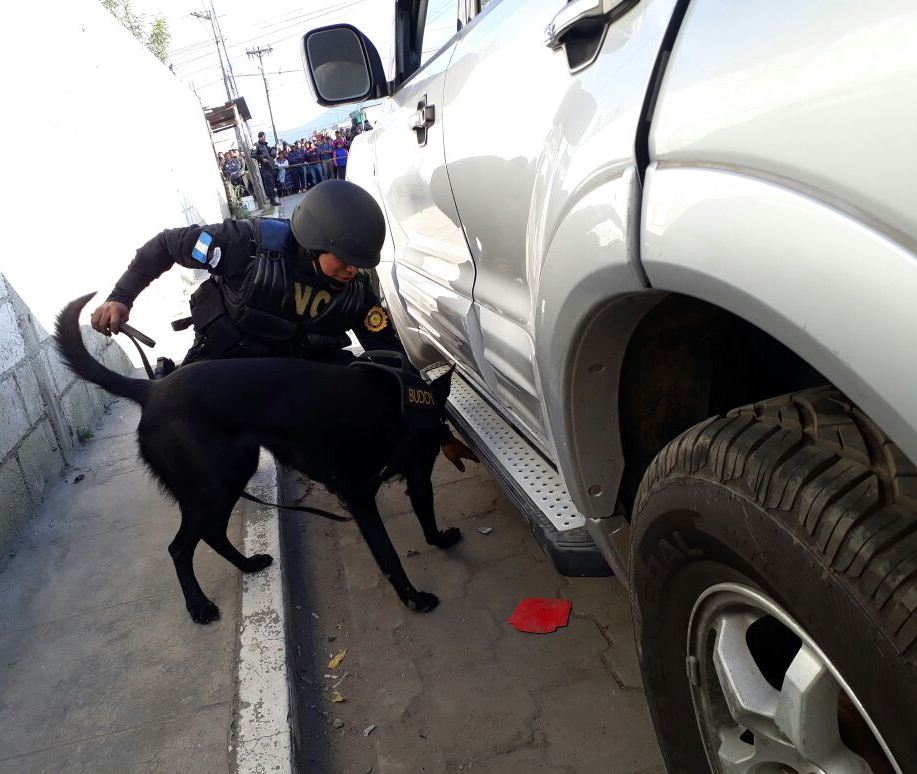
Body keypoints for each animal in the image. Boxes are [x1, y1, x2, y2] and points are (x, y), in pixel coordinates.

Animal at [53, 294, 462, 628]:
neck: (399, 407)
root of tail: (151, 388)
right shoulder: (361, 495)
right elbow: (389, 554)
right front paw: (414, 597)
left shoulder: (416, 477)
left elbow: (425, 515)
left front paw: (439, 539)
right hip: (210, 489)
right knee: (180, 548)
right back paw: (199, 605)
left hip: (231, 475)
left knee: (213, 533)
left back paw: (247, 565)